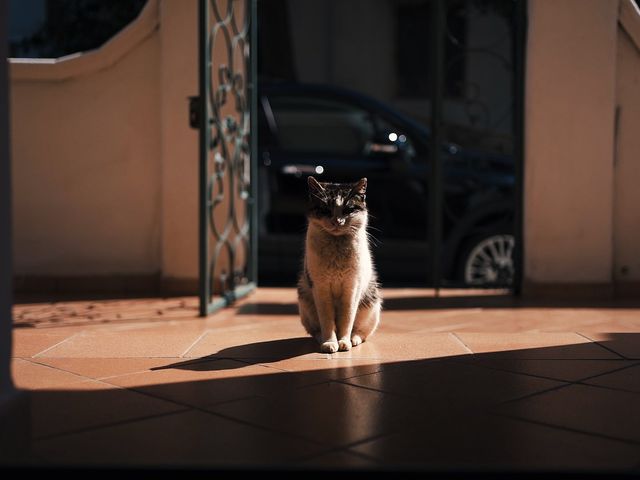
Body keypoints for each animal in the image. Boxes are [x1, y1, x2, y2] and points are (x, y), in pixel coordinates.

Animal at [298, 176, 382, 352]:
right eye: (325, 210)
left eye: (348, 210)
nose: (337, 221)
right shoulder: (321, 287)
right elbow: (327, 321)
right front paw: (330, 343)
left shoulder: (352, 288)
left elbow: (347, 320)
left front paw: (343, 342)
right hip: (305, 302)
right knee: (316, 330)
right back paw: (321, 339)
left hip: (371, 304)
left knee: (361, 332)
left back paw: (353, 340)